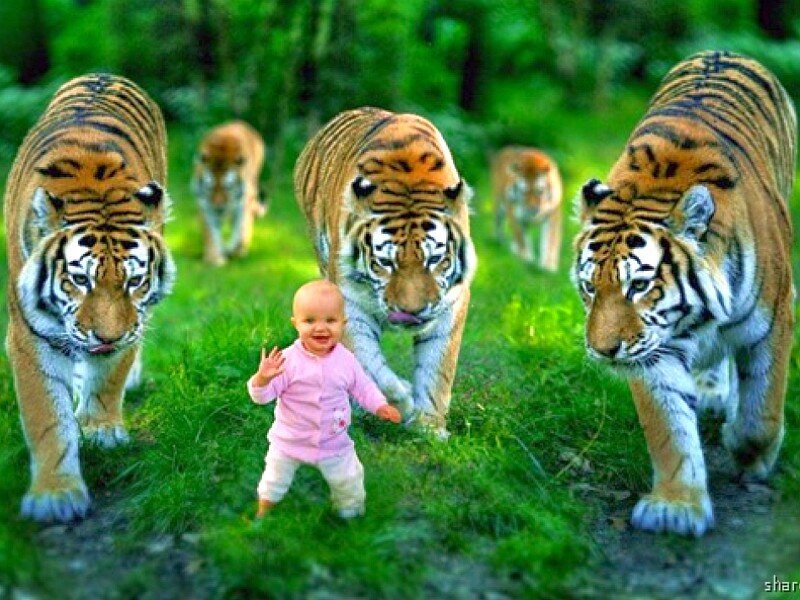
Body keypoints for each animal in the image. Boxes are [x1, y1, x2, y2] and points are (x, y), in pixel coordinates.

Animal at [3, 73, 176, 522]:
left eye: (134, 282)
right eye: (79, 279)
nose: (107, 337)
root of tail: (105, 74)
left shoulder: (132, 322)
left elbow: (109, 375)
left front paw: (99, 430)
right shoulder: (31, 334)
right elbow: (48, 416)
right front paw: (55, 495)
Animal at [190, 120, 266, 266]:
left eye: (228, 187)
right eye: (210, 187)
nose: (219, 208)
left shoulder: (243, 203)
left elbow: (241, 230)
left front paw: (234, 250)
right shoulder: (205, 204)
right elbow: (211, 231)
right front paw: (215, 260)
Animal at [293, 107, 477, 436]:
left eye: (435, 259)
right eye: (386, 263)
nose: (411, 312)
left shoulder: (451, 303)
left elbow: (438, 369)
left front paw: (429, 427)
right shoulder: (349, 303)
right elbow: (367, 365)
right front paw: (402, 401)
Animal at [572, 51, 796, 537]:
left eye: (638, 285)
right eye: (589, 287)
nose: (603, 351)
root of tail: (723, 51)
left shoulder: (772, 324)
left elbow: (761, 410)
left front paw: (748, 454)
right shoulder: (653, 351)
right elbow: (669, 428)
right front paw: (675, 508)